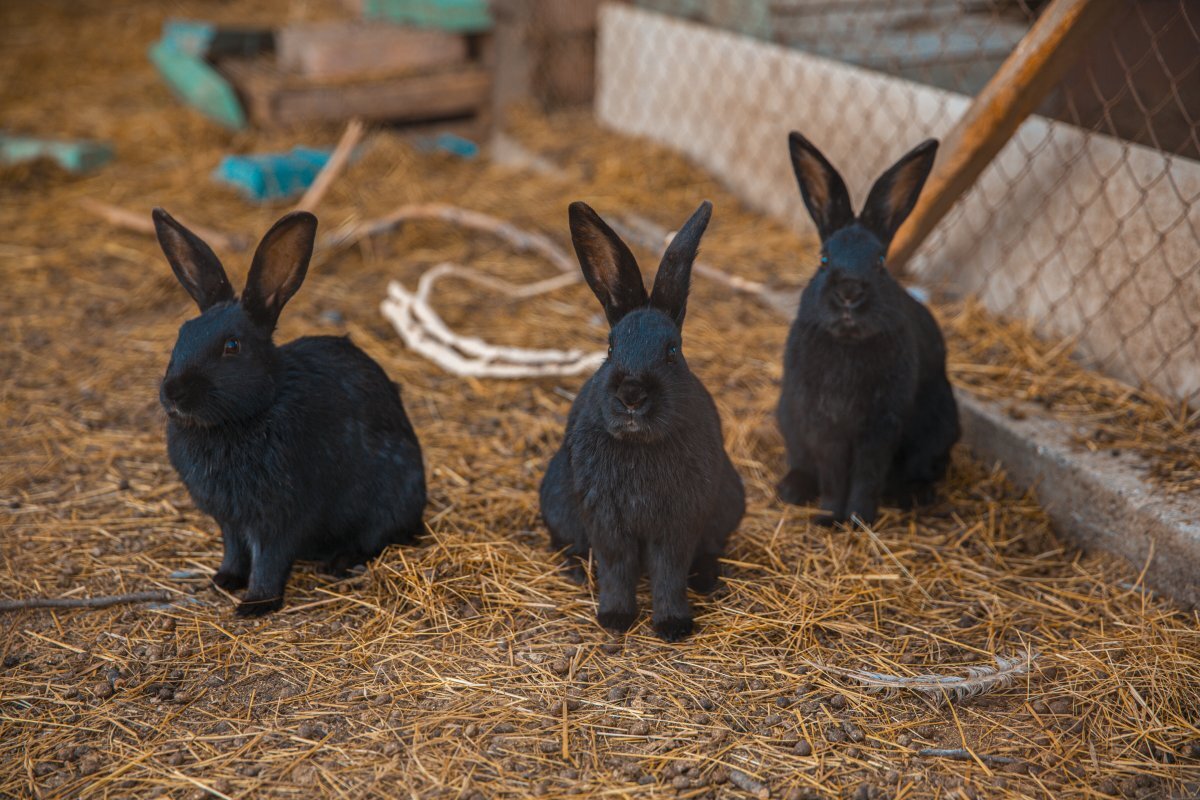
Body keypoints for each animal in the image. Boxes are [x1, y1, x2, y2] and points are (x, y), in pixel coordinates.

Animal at [152, 209, 427, 618]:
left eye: (232, 346)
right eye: (182, 334)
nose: (173, 394)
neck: (249, 415)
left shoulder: (279, 515)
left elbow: (269, 558)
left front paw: (256, 604)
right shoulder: (230, 520)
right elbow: (234, 551)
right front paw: (223, 581)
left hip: (390, 496)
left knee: (377, 539)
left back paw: (339, 562)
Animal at [542, 201, 744, 642]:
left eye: (672, 351)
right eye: (610, 347)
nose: (631, 396)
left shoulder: (678, 523)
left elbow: (669, 572)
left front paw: (673, 626)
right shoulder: (606, 521)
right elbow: (617, 569)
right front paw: (615, 619)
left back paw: (707, 580)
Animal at [777, 133, 955, 527]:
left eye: (880, 261)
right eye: (824, 259)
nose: (849, 293)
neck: (848, 345)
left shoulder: (880, 427)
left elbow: (866, 474)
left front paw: (859, 519)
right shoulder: (823, 424)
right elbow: (832, 473)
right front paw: (829, 517)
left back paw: (915, 496)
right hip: (788, 417)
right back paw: (791, 490)